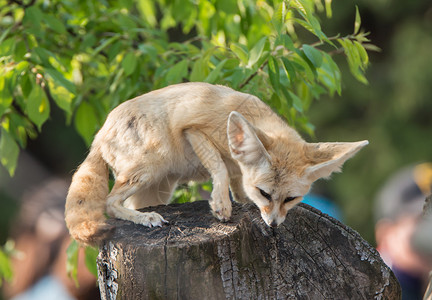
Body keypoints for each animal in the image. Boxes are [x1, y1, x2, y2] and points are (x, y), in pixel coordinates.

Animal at [65, 81, 368, 244]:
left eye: (291, 199)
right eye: (265, 193)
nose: (273, 225)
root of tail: (99, 134)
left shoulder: (238, 169)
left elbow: (237, 184)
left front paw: (238, 201)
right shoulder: (193, 131)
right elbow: (219, 168)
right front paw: (221, 205)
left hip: (157, 189)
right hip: (151, 165)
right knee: (109, 203)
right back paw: (145, 218)